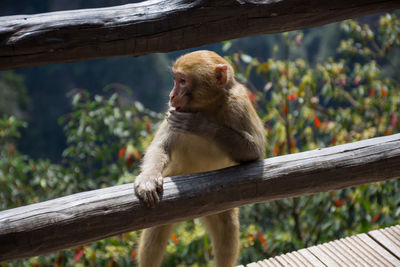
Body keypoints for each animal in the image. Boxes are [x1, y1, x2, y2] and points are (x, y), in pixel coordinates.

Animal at [134, 50, 266, 267]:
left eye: (182, 81)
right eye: (175, 80)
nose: (171, 95)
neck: (208, 106)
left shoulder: (239, 104)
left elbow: (254, 151)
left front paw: (199, 125)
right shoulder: (173, 111)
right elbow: (160, 147)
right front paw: (148, 179)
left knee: (227, 227)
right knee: (156, 229)